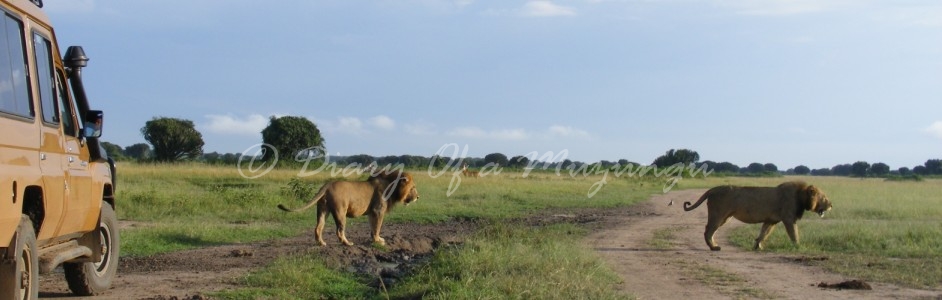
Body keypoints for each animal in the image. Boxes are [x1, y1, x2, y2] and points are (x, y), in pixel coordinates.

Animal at [274, 171, 418, 246]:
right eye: (412, 188)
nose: (418, 197)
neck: (392, 187)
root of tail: (328, 184)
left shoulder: (372, 213)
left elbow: (372, 228)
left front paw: (375, 239)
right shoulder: (378, 211)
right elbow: (377, 227)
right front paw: (378, 241)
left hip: (323, 209)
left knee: (318, 227)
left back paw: (321, 243)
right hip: (340, 212)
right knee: (339, 231)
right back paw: (347, 243)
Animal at [684, 180, 832, 251]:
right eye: (824, 197)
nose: (831, 205)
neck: (801, 195)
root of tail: (712, 189)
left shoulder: (771, 220)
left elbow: (763, 234)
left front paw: (758, 247)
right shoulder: (789, 219)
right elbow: (794, 234)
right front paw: (798, 247)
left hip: (725, 217)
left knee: (710, 230)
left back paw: (714, 245)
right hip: (718, 215)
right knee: (708, 230)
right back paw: (713, 247)